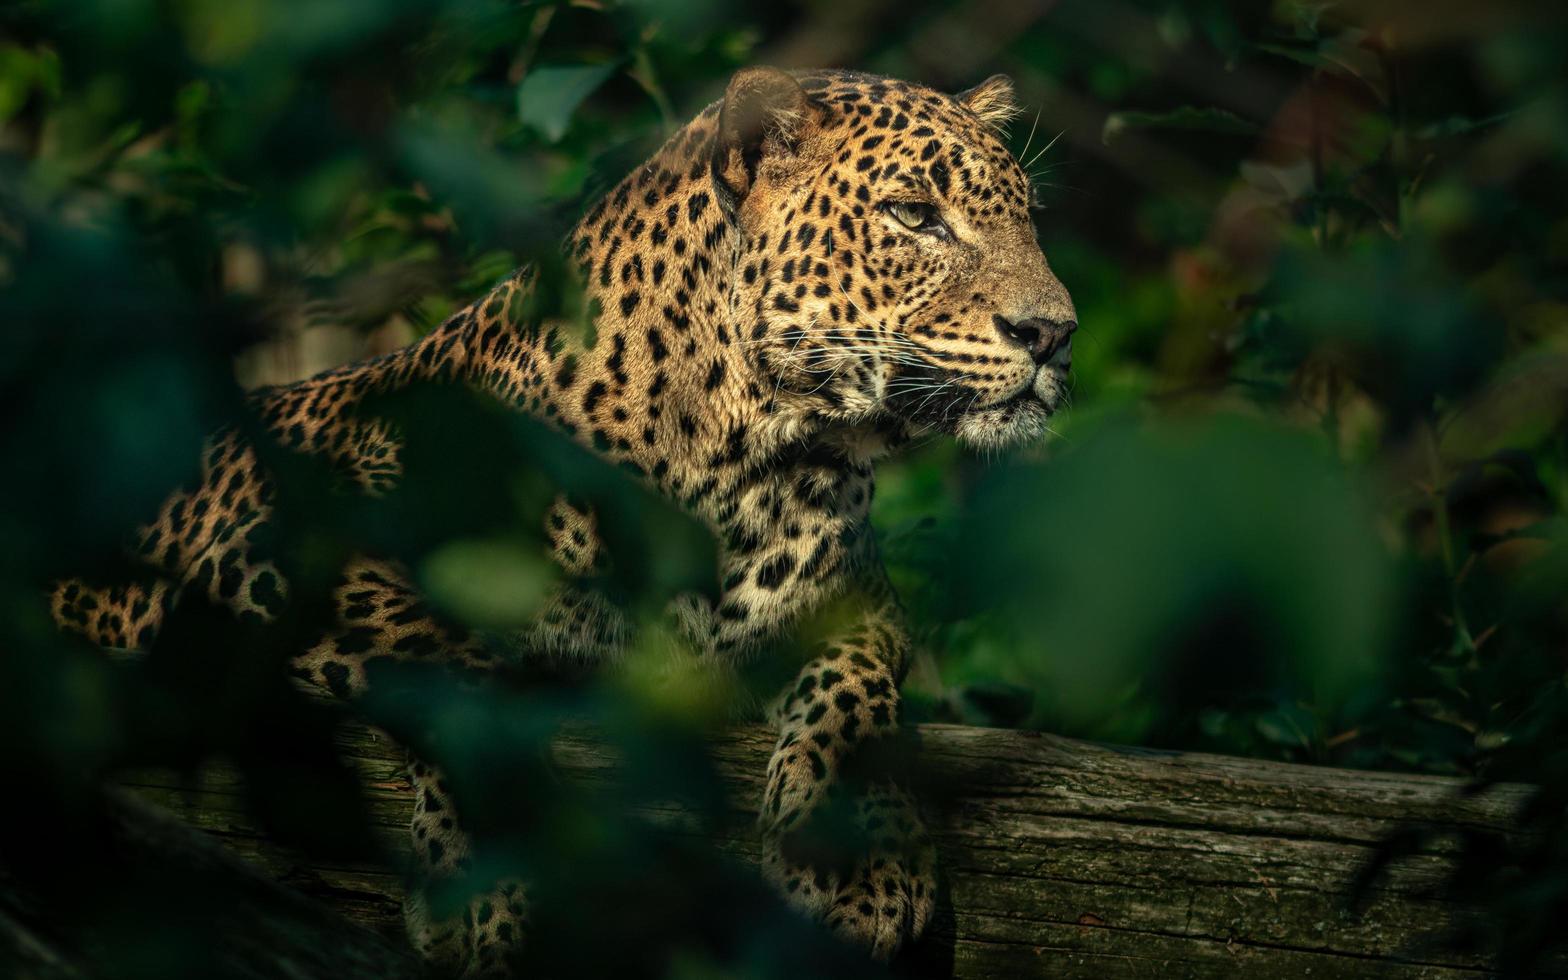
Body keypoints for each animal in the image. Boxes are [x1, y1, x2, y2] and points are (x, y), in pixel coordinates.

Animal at [49, 67, 1078, 972]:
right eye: (914, 215)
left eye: (1028, 213)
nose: (1055, 333)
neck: (749, 459)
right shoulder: (272, 562)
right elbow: (465, 682)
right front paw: (486, 901)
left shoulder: (854, 605)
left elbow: (858, 702)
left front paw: (858, 867)